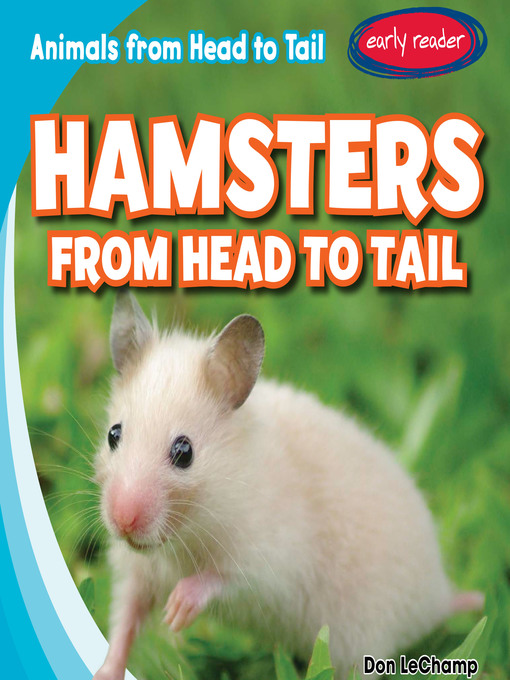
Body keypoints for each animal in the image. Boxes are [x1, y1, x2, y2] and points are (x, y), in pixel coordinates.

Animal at [92, 292, 482, 680]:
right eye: (113, 434)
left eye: (184, 452)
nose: (123, 521)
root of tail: (437, 596)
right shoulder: (137, 574)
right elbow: (124, 622)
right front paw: (106, 671)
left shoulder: (271, 564)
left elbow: (220, 580)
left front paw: (176, 612)